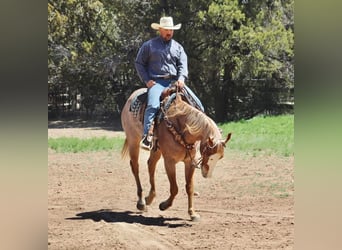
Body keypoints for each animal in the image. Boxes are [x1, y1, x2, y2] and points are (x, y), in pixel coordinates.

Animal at [121, 88, 232, 221]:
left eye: (220, 157)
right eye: (209, 154)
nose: (207, 174)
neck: (182, 127)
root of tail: (132, 96)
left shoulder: (190, 162)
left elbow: (189, 187)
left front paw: (192, 213)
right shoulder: (169, 161)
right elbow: (174, 188)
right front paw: (164, 205)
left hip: (156, 149)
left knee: (151, 164)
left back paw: (149, 198)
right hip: (133, 141)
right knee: (135, 167)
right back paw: (141, 202)